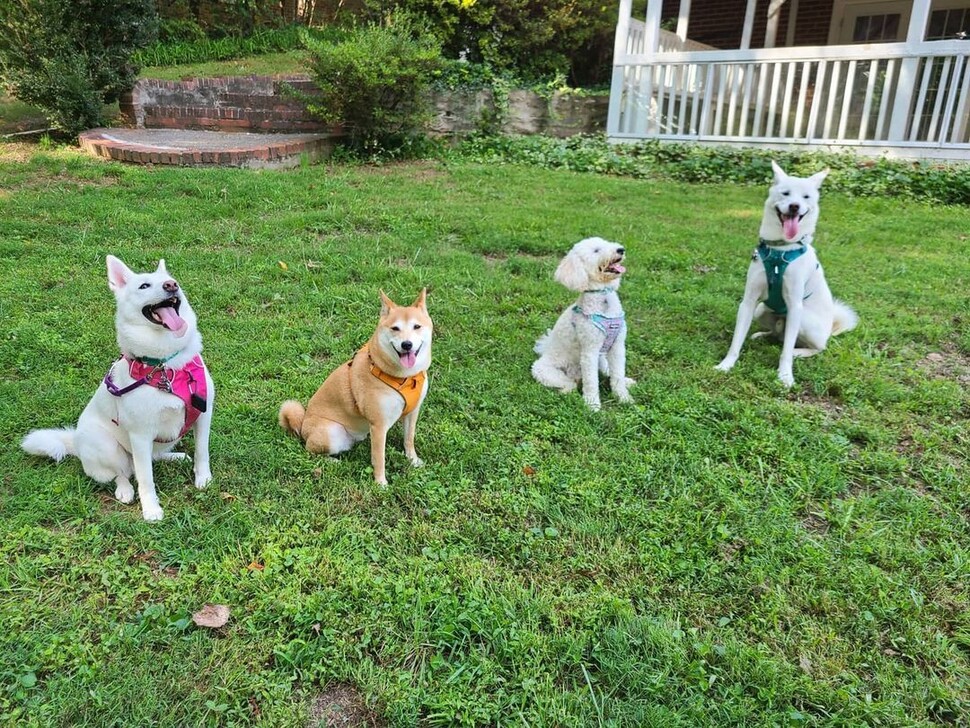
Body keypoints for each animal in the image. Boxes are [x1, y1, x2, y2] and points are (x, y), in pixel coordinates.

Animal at [21, 256, 214, 524]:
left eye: (172, 280)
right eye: (144, 286)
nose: (171, 285)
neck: (165, 366)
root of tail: (75, 442)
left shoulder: (203, 416)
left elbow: (201, 452)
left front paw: (203, 479)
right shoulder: (140, 435)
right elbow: (145, 478)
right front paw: (151, 509)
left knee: (152, 458)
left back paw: (174, 457)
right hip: (107, 445)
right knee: (121, 473)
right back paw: (124, 490)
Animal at [280, 288, 432, 484]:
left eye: (417, 327)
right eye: (395, 328)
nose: (407, 344)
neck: (405, 377)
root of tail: (302, 426)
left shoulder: (412, 412)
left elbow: (409, 439)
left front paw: (413, 460)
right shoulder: (378, 425)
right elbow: (379, 458)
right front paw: (380, 483)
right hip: (332, 433)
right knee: (310, 451)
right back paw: (333, 462)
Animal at [528, 237, 636, 412]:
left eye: (607, 243)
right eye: (596, 250)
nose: (621, 249)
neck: (603, 296)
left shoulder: (618, 346)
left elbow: (617, 375)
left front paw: (624, 398)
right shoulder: (589, 351)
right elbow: (591, 382)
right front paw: (592, 405)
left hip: (601, 358)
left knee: (607, 371)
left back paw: (627, 381)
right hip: (545, 371)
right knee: (571, 384)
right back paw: (567, 391)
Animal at [712, 159, 856, 386]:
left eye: (806, 197)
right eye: (785, 193)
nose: (794, 206)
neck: (780, 249)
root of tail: (830, 330)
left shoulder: (795, 306)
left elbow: (786, 352)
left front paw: (785, 376)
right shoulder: (749, 302)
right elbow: (736, 341)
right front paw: (726, 365)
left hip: (805, 319)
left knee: (814, 347)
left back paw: (799, 352)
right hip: (761, 310)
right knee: (779, 336)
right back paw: (762, 335)